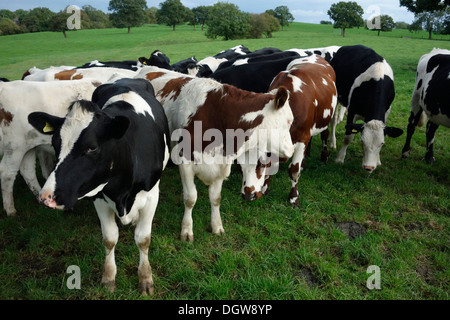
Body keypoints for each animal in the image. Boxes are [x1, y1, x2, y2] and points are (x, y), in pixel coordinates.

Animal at [27, 77, 171, 296]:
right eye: (55, 142)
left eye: (92, 147)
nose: (46, 197)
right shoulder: (98, 196)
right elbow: (110, 238)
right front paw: (108, 278)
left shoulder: (151, 195)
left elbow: (143, 239)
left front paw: (146, 279)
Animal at [134, 68, 296, 242]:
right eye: (289, 121)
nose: (291, 151)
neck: (218, 115)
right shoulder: (185, 161)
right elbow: (190, 198)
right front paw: (187, 229)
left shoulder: (221, 164)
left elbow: (216, 198)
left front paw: (217, 226)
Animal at [241, 54, 336, 205]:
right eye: (239, 164)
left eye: (260, 163)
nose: (248, 195)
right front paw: (265, 189)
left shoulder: (302, 137)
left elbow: (294, 170)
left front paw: (293, 197)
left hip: (327, 117)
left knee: (324, 135)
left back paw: (324, 156)